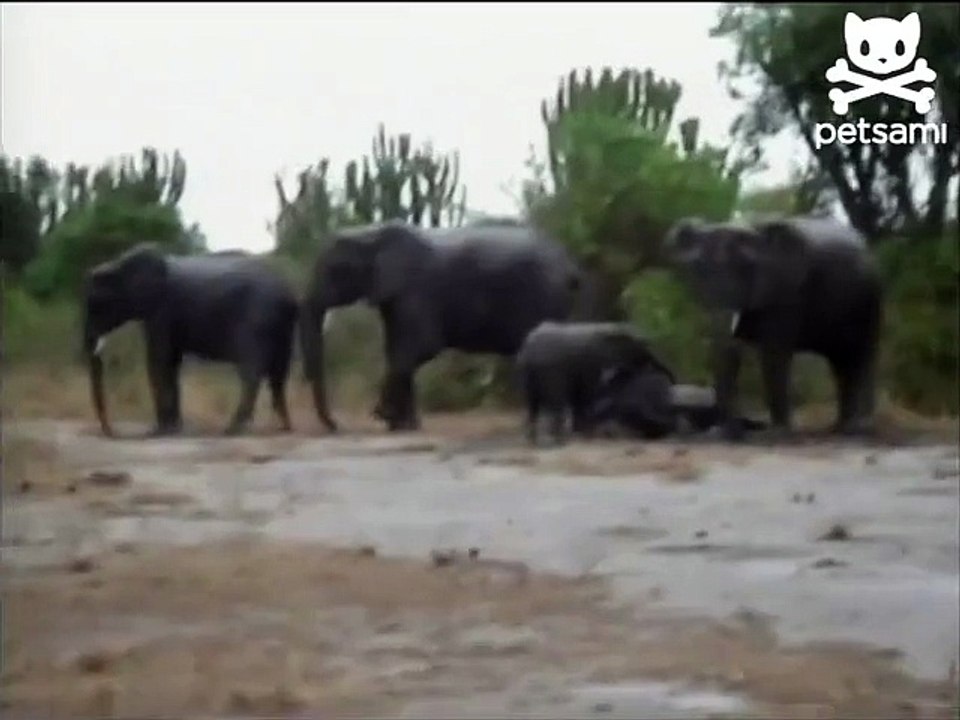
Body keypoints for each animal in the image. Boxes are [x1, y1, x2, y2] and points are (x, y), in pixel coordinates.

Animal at [82, 243, 300, 437]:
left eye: (96, 304)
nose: (110, 432)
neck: (118, 264)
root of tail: (288, 292)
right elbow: (171, 362)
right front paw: (174, 429)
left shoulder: (161, 309)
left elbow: (158, 360)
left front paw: (159, 432)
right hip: (282, 326)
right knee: (279, 372)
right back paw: (283, 427)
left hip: (257, 319)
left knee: (251, 372)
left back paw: (233, 430)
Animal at [299, 220, 583, 433]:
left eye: (336, 269)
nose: (336, 427)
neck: (371, 232)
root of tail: (569, 263)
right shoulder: (395, 296)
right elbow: (396, 349)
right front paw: (403, 427)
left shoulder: (417, 289)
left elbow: (419, 348)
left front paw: (384, 415)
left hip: (544, 297)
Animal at [515, 320, 674, 445]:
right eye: (644, 349)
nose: (671, 379)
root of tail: (528, 351)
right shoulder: (592, 363)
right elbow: (587, 393)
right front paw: (586, 434)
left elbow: (580, 397)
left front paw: (580, 432)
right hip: (550, 370)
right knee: (555, 402)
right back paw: (559, 441)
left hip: (528, 374)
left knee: (532, 404)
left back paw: (534, 441)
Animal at [664, 215, 883, 441]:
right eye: (698, 269)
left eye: (747, 267)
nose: (734, 434)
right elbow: (725, 354)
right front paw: (721, 433)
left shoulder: (787, 293)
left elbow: (773, 355)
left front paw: (776, 434)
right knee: (839, 363)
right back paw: (839, 428)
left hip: (871, 299)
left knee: (862, 356)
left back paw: (859, 428)